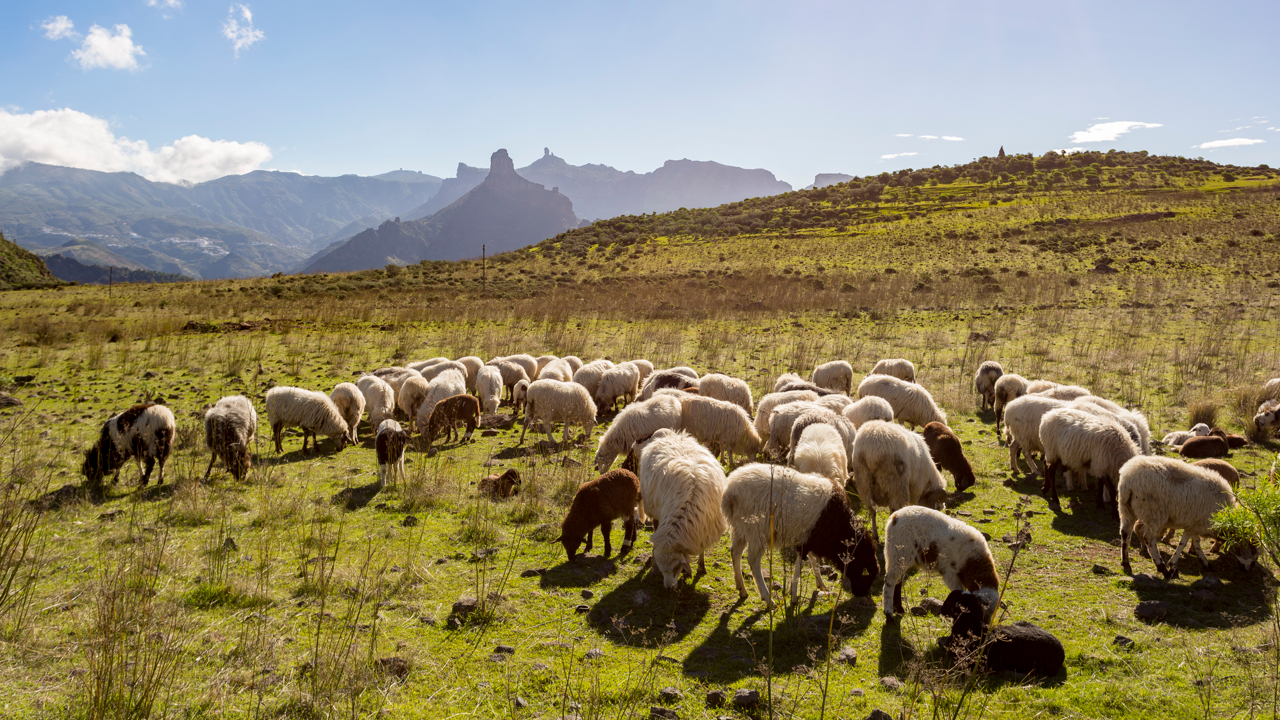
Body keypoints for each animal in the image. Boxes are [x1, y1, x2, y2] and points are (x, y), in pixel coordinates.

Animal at [632, 425, 732, 589]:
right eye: (662, 570)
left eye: (676, 567)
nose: (669, 588)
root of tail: (669, 434)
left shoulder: (703, 528)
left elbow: (701, 550)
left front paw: (701, 567)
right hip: (654, 507)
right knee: (655, 525)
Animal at [721, 461, 880, 607]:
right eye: (866, 574)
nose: (861, 594)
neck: (841, 527)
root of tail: (730, 491)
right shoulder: (806, 541)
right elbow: (799, 566)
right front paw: (794, 596)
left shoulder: (812, 539)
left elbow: (814, 560)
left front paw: (821, 584)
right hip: (758, 530)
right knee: (753, 560)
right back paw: (768, 598)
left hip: (740, 528)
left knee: (735, 552)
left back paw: (742, 589)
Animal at [1121, 453, 1259, 576]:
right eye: (1253, 549)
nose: (1250, 569)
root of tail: (1129, 478)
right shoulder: (1195, 524)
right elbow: (1184, 543)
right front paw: (1172, 566)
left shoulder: (1193, 524)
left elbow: (1194, 542)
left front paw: (1204, 562)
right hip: (1153, 513)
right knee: (1149, 539)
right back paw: (1162, 569)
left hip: (1126, 508)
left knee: (1125, 533)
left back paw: (1126, 564)